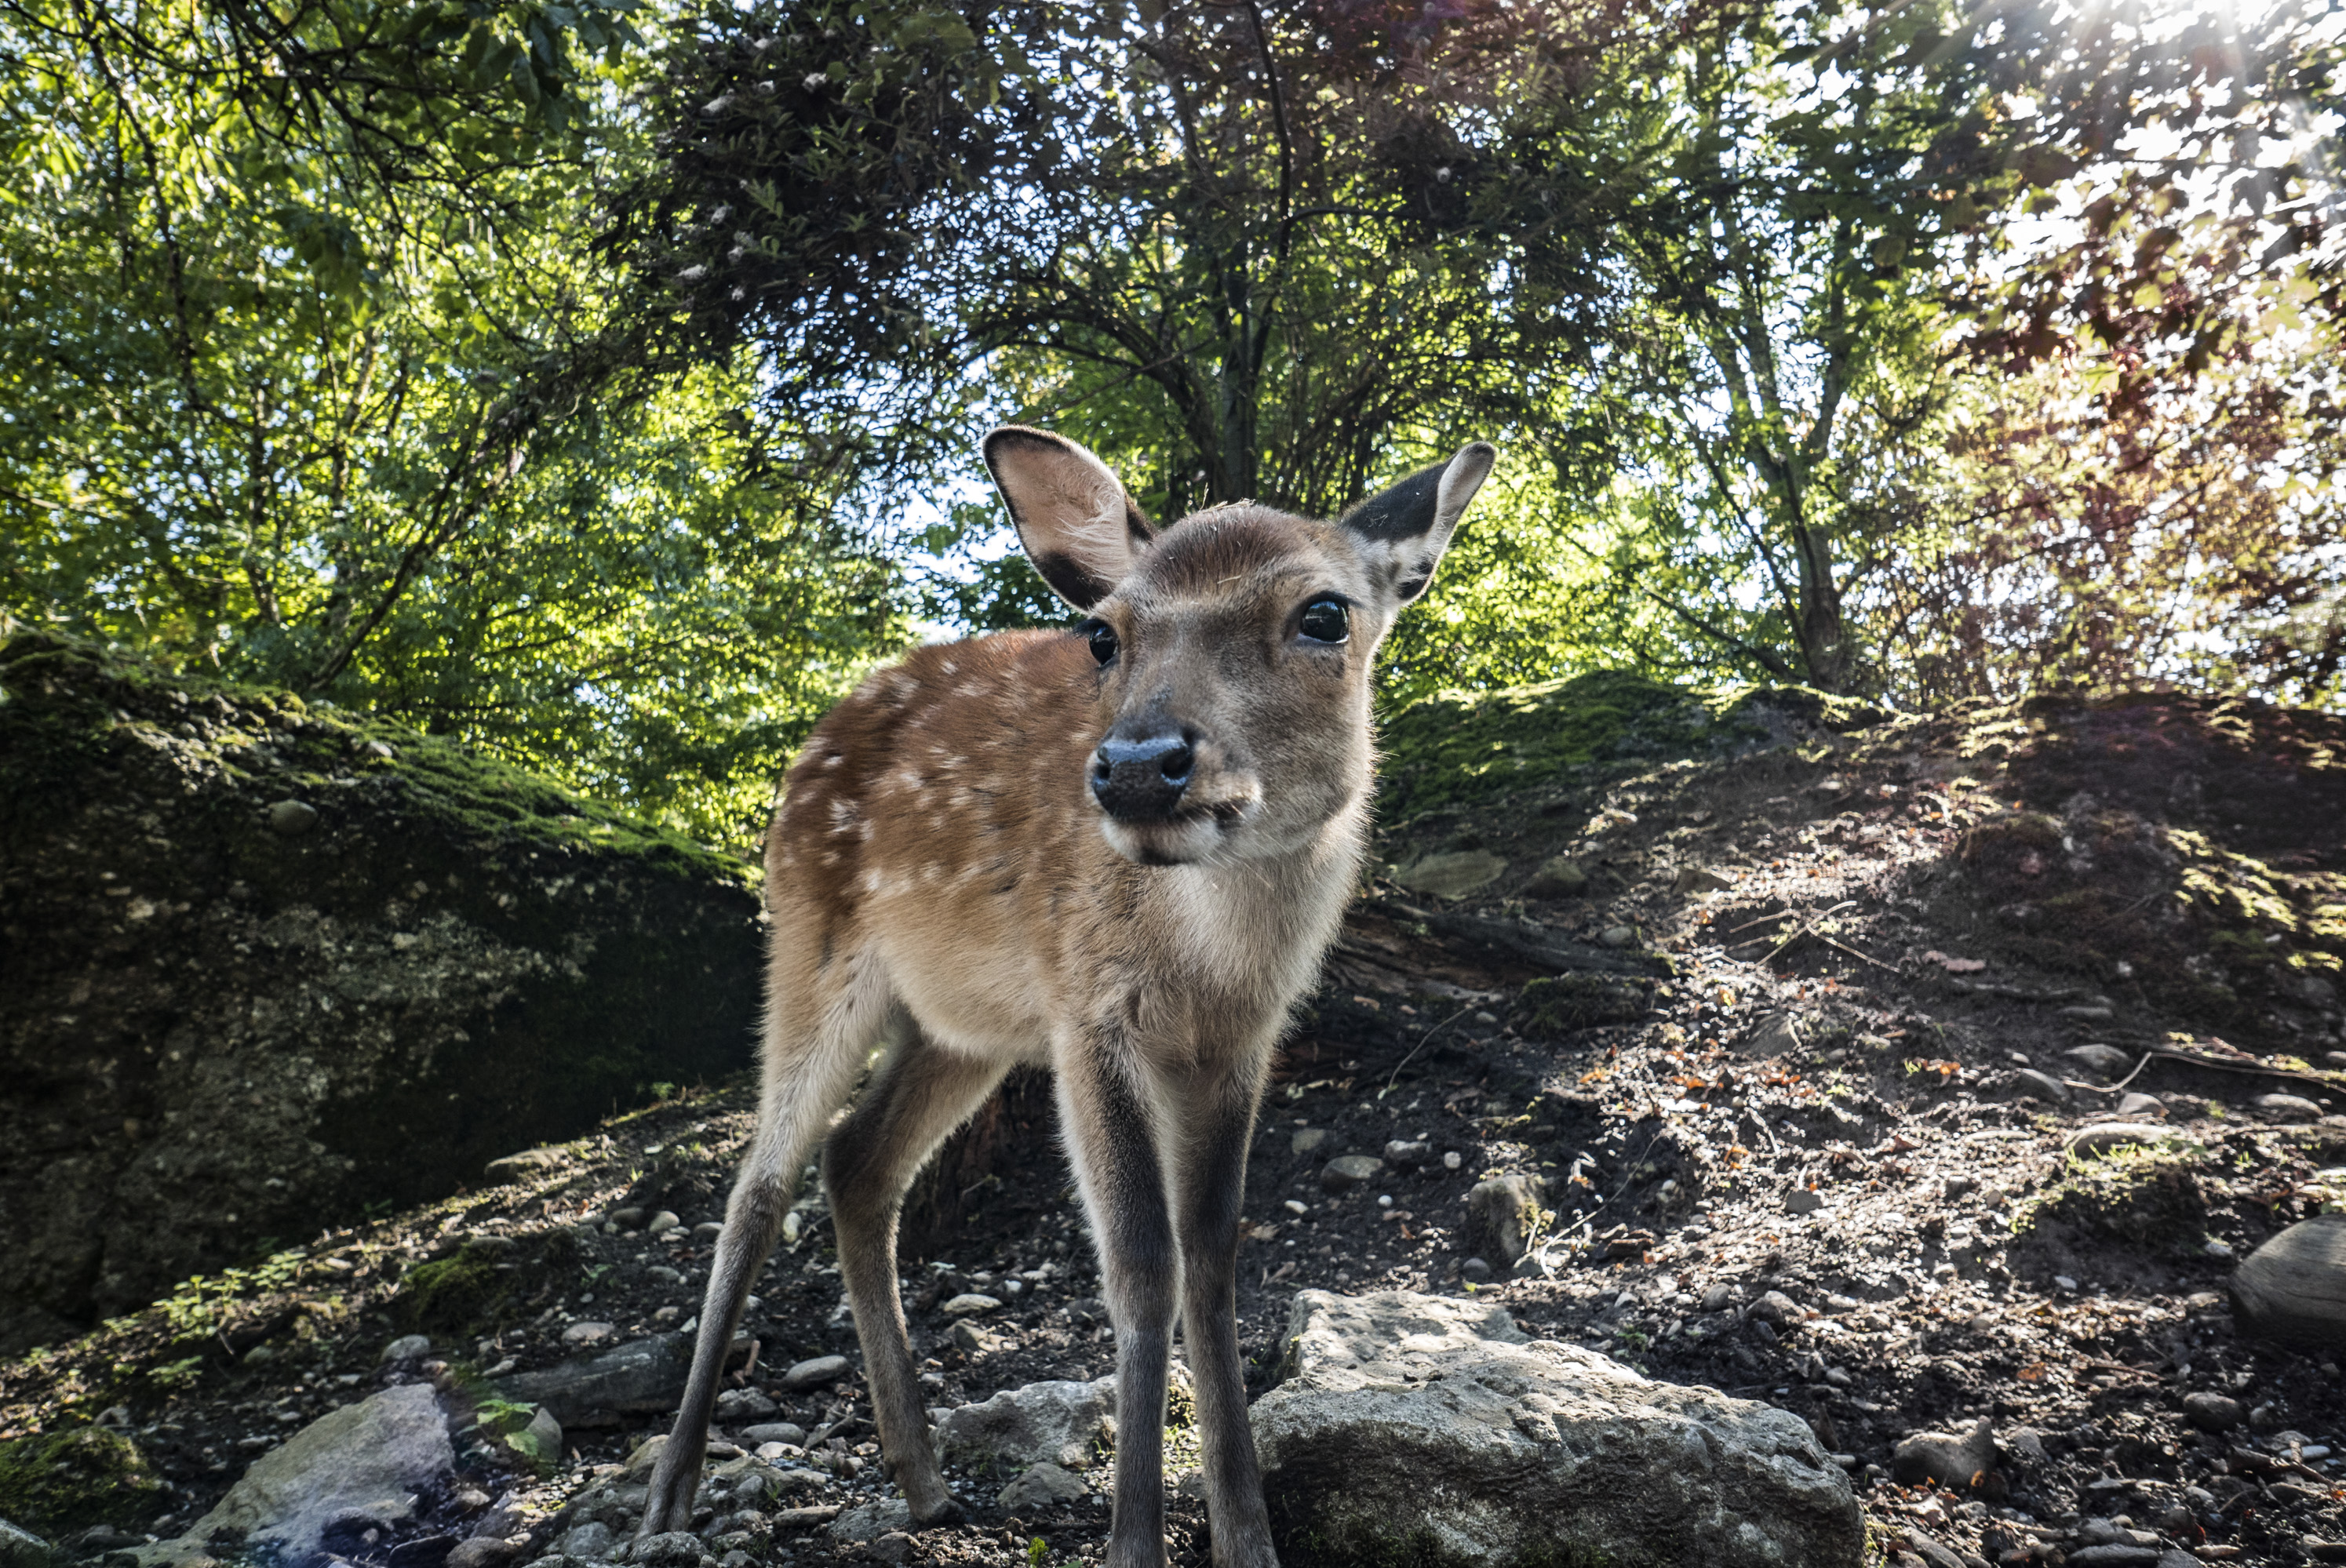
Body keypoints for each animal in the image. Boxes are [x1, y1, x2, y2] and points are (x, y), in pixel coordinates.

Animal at [635, 427, 1496, 1568]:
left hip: (969, 1024)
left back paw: (924, 1480)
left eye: (1325, 612)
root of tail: (811, 746)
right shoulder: (1091, 1012)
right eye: (1102, 633)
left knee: (856, 1159)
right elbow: (1139, 1263)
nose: (1137, 765)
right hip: (810, 944)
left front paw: (1247, 1536)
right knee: (755, 1184)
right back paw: (668, 1494)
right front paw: (1134, 1541)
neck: (1210, 963)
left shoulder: (1240, 1044)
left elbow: (1212, 1256)